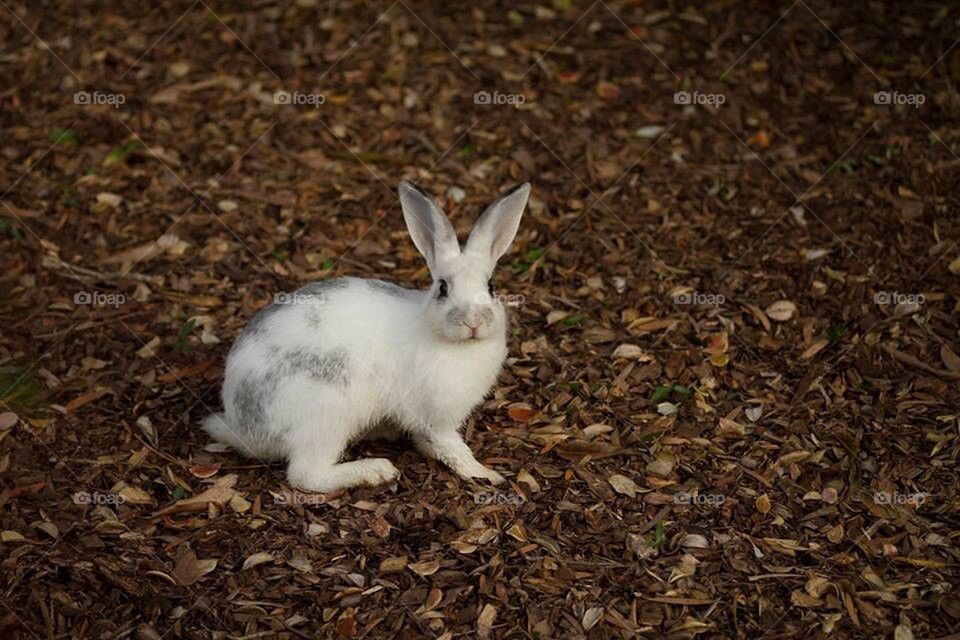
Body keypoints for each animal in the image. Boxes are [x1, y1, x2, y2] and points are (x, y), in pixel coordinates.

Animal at [203, 180, 531, 493]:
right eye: (443, 288)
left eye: (491, 287)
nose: (474, 321)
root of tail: (242, 426)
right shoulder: (436, 417)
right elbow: (453, 448)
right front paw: (485, 474)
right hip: (326, 417)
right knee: (305, 475)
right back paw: (374, 470)